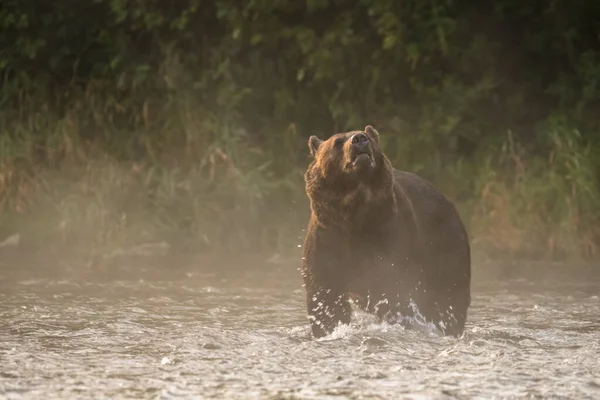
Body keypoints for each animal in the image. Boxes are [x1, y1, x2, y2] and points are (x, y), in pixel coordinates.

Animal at [302, 124, 472, 338]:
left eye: (365, 135)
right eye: (337, 142)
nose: (359, 139)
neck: (355, 209)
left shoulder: (389, 230)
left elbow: (391, 284)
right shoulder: (328, 234)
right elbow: (326, 292)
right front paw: (328, 328)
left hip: (444, 242)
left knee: (448, 293)